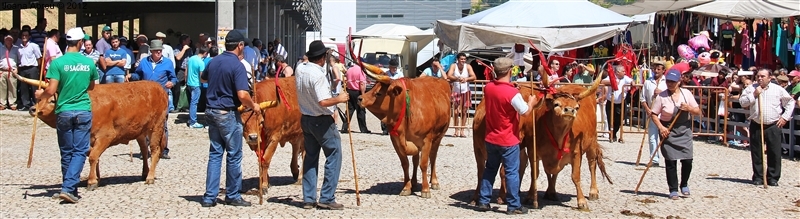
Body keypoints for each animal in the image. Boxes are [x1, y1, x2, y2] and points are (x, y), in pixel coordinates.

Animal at [19, 78, 169, 190]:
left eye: (51, 100)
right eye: (39, 99)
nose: (32, 109)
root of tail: (158, 87)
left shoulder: (106, 135)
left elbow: (93, 157)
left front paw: (92, 182)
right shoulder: (88, 140)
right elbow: (94, 157)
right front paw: (97, 178)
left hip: (156, 127)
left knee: (154, 150)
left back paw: (150, 177)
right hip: (140, 131)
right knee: (144, 150)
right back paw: (144, 172)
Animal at [360, 62, 454, 198]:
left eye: (378, 93)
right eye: (372, 88)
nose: (359, 98)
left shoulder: (427, 139)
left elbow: (424, 164)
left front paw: (425, 189)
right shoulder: (395, 139)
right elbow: (405, 163)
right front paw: (406, 187)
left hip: (439, 136)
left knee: (433, 157)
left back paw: (434, 181)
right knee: (415, 160)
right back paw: (414, 182)